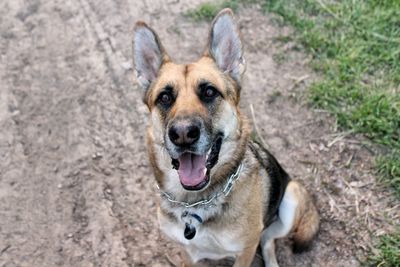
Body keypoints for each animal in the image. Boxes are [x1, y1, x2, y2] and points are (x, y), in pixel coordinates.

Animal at [133, 8, 320, 267]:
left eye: (209, 92)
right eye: (165, 97)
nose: (183, 134)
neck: (195, 202)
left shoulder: (245, 251)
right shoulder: (187, 252)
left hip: (290, 199)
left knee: (268, 239)